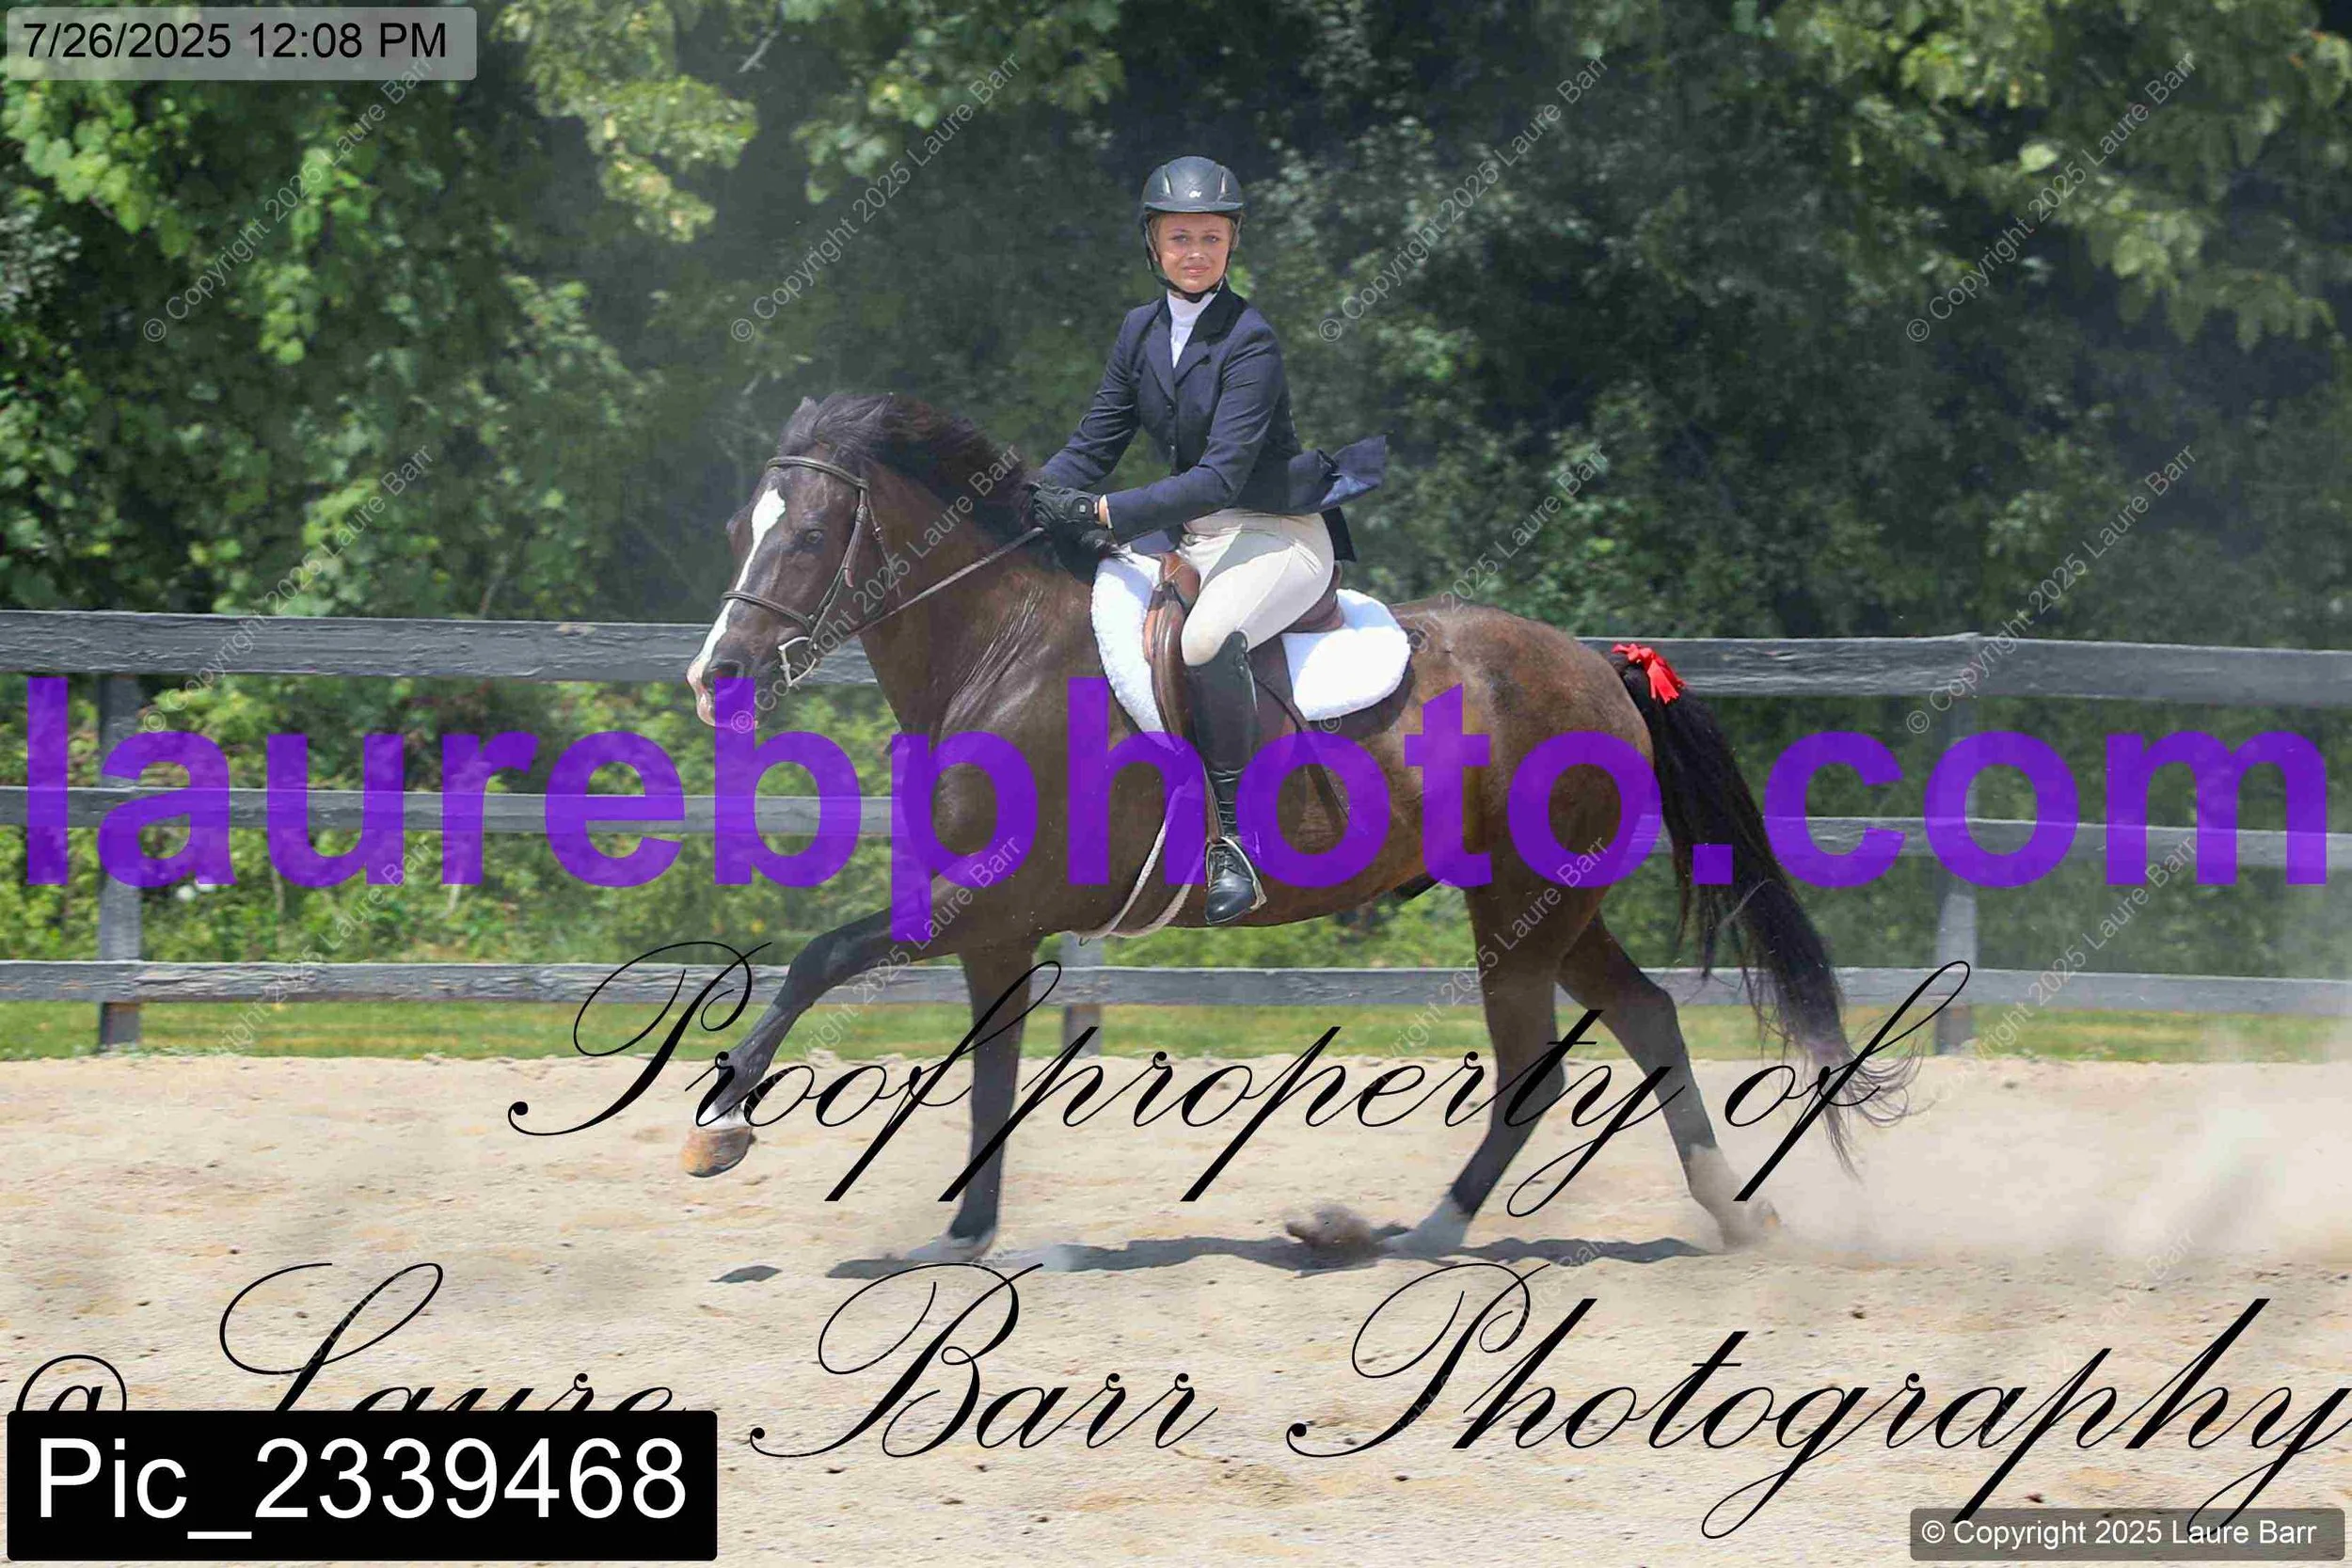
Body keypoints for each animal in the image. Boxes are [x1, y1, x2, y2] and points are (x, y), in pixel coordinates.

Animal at [680, 391, 1904, 1261]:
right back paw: (1732, 1216)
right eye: (739, 528)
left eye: (807, 540)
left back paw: (1411, 1233)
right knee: (1647, 1020)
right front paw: (965, 1233)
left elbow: (819, 958)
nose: (716, 678)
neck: (1000, 645)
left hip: (1522, 906)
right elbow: (988, 1074)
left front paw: (720, 1124)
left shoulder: (988, 893)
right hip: (1549, 905)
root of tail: (1603, 667)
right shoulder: (996, 925)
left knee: (1533, 1072)